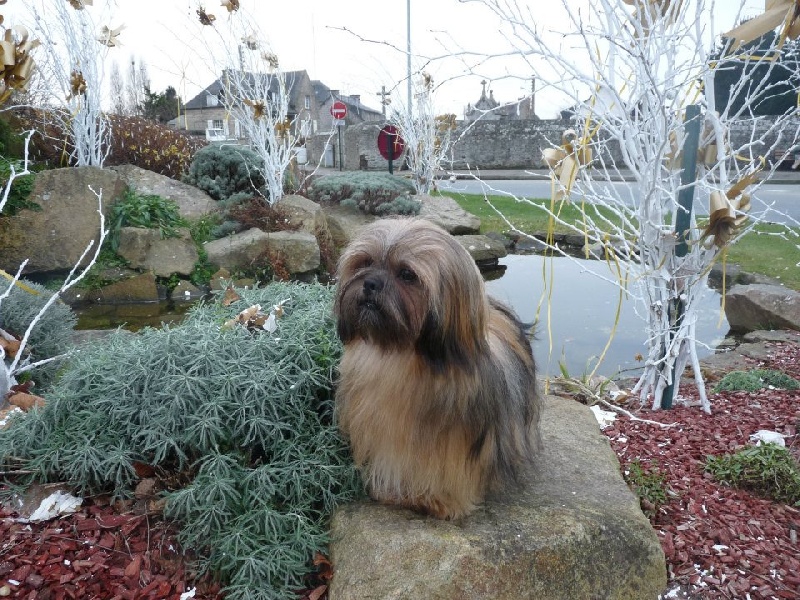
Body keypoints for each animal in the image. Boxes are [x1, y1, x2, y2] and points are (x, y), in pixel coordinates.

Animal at [333, 218, 541, 519]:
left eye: (407, 275)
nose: (369, 283)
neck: (402, 358)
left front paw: (438, 500)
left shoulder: (455, 444)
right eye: (364, 262)